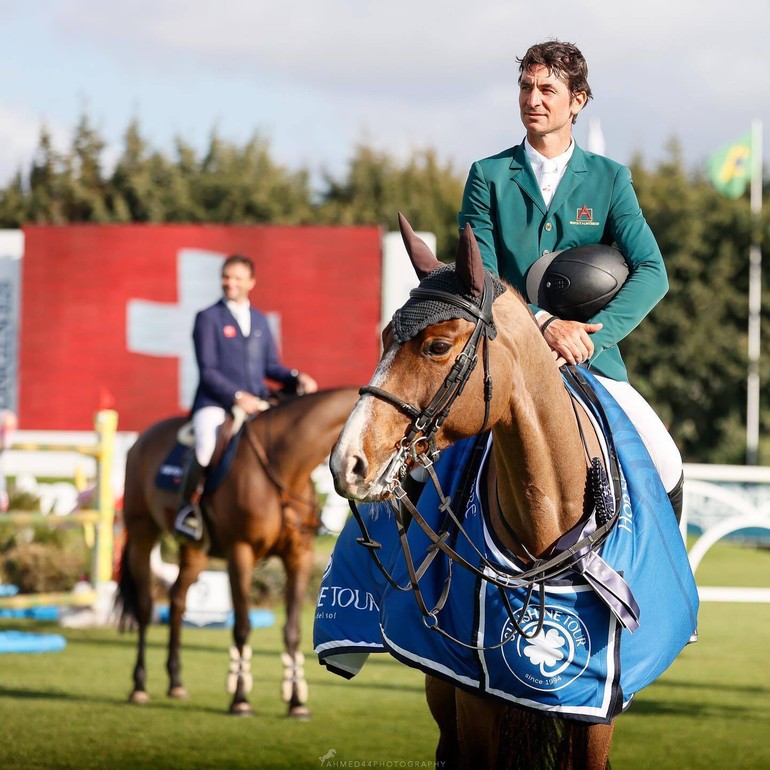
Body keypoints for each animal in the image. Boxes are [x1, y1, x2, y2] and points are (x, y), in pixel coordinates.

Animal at [118, 388, 360, 716]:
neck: (283, 466)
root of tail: (141, 440)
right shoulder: (240, 552)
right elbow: (243, 626)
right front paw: (240, 697)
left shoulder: (299, 556)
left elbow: (292, 630)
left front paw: (296, 701)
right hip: (142, 534)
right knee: (144, 608)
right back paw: (139, 686)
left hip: (195, 551)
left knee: (178, 601)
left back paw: (176, 682)